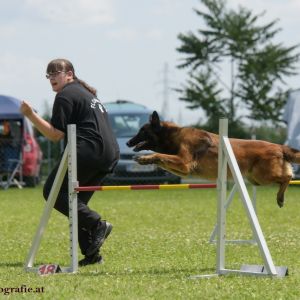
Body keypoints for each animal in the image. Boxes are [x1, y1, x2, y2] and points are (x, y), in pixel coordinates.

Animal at [126, 110, 300, 206]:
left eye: (142, 131)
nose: (127, 142)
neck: (174, 136)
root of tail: (279, 146)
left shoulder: (183, 163)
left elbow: (160, 155)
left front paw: (145, 158)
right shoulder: (184, 170)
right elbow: (162, 159)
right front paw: (146, 159)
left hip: (263, 176)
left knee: (288, 176)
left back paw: (280, 198)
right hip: (256, 179)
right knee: (286, 177)